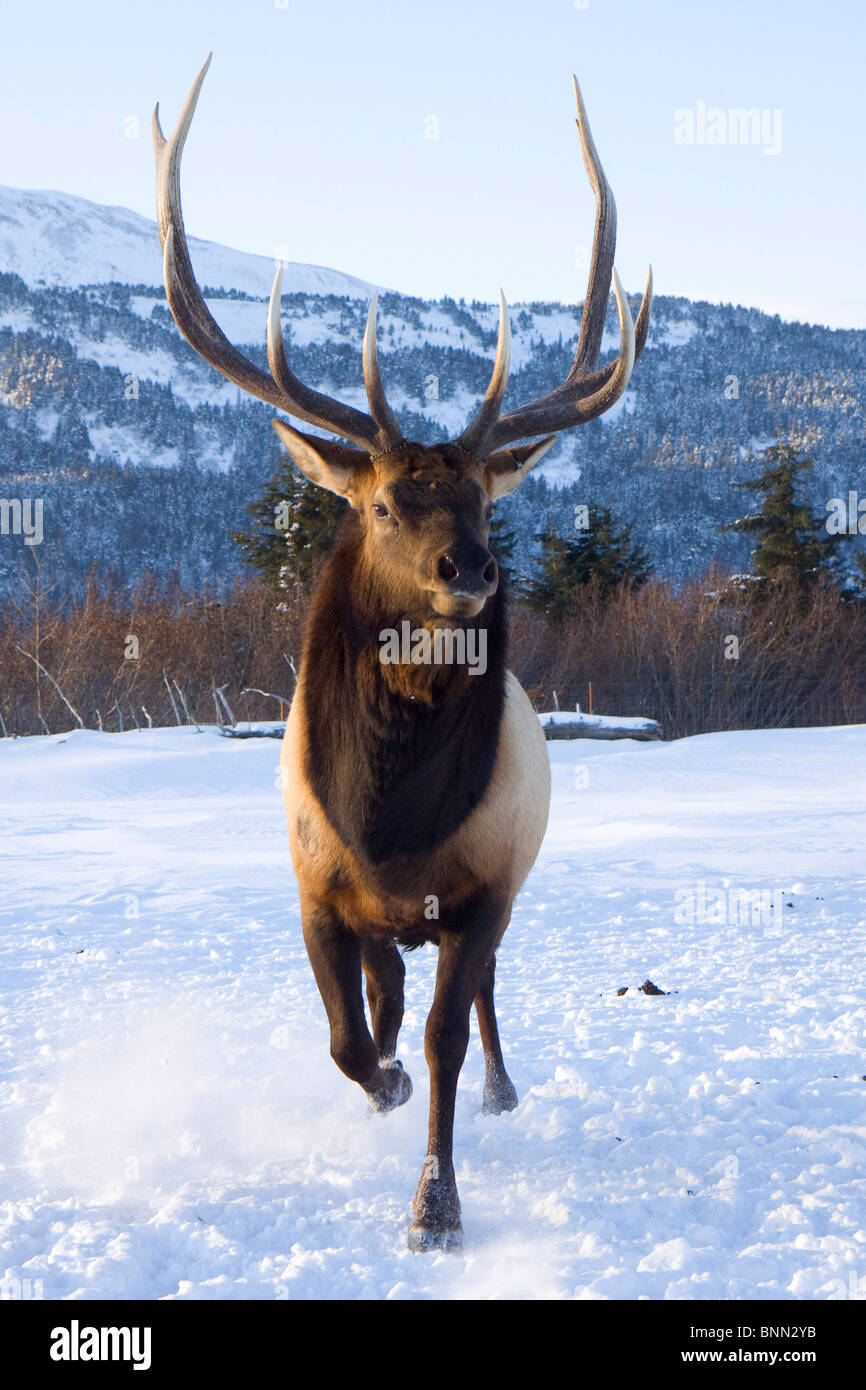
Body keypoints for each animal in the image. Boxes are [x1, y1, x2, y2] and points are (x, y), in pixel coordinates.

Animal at [155, 54, 650, 1256]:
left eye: (482, 498)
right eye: (383, 504)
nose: (470, 569)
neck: (388, 822)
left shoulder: (481, 889)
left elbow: (441, 1040)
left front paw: (435, 1207)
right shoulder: (315, 888)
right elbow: (347, 1036)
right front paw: (377, 1089)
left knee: (474, 1002)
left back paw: (501, 1090)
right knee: (382, 994)